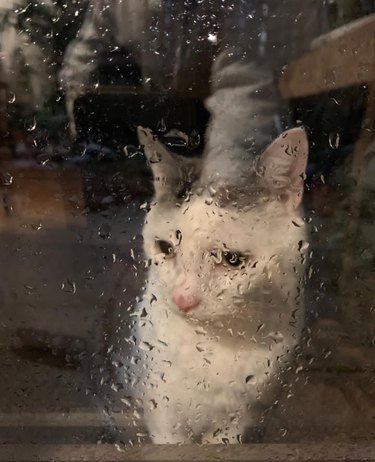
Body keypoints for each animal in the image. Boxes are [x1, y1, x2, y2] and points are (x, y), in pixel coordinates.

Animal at [131, 124, 310, 442]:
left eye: (232, 259)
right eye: (166, 248)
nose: (182, 299)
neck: (216, 342)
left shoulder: (242, 416)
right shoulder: (162, 412)